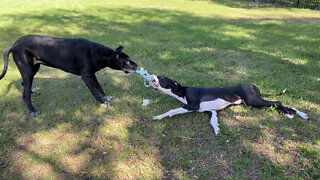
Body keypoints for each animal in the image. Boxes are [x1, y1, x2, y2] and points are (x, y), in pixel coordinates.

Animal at [0, 34, 138, 116]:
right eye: (127, 60)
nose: (137, 66)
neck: (97, 53)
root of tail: (14, 44)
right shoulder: (86, 76)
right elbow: (94, 91)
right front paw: (103, 103)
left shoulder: (91, 74)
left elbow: (98, 86)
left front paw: (105, 96)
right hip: (28, 70)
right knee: (25, 95)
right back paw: (33, 110)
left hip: (33, 68)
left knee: (24, 84)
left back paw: (32, 92)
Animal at [149, 74, 308, 135]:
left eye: (162, 78)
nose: (152, 75)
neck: (182, 91)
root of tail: (254, 86)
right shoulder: (211, 111)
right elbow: (213, 121)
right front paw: (217, 129)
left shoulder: (193, 106)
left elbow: (172, 110)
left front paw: (158, 117)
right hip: (254, 102)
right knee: (285, 104)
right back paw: (301, 114)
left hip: (254, 101)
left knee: (278, 102)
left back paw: (290, 115)